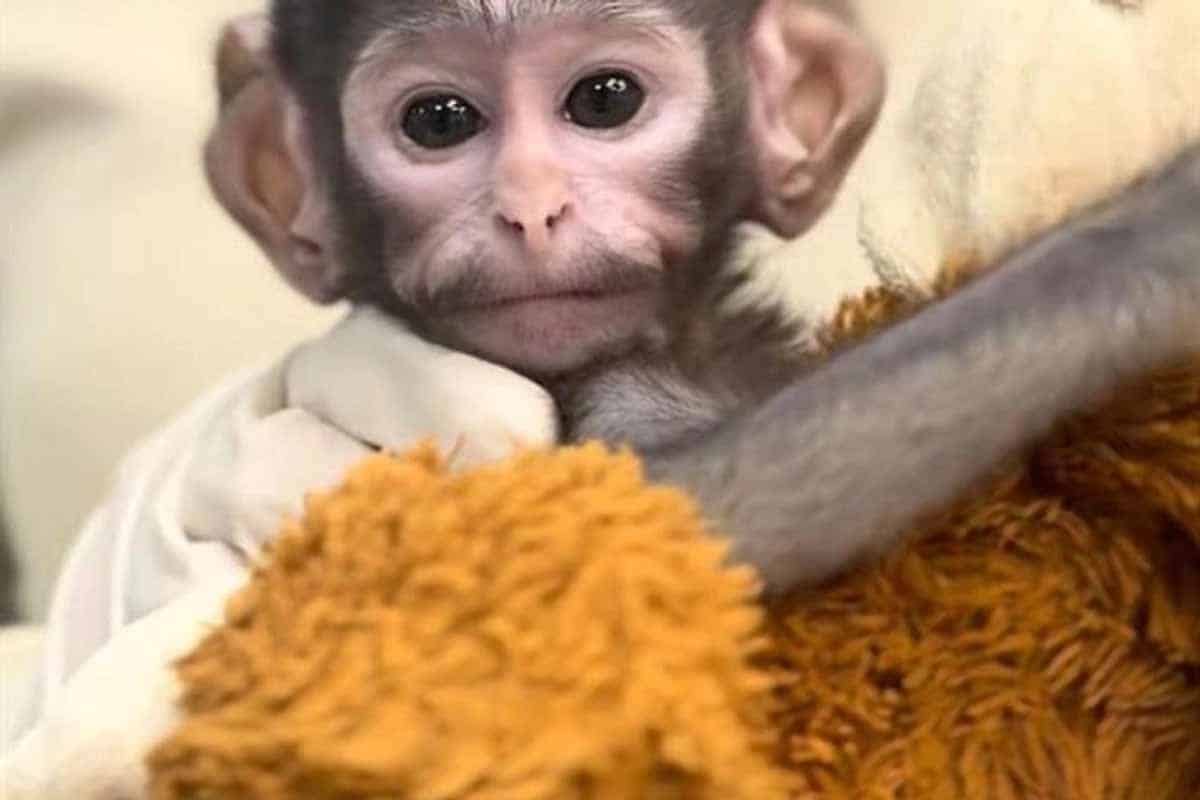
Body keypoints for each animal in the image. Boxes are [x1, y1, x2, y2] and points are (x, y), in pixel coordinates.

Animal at [207, 0, 1200, 597]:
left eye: (605, 99)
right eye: (439, 119)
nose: (530, 206)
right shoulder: (603, 398)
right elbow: (660, 537)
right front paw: (1155, 236)